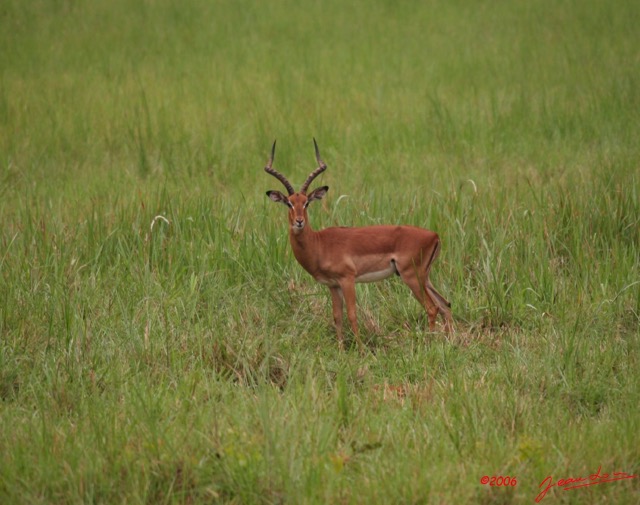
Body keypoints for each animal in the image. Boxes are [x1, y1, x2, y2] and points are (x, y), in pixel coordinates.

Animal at [262, 140, 452, 348]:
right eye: (289, 203)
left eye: (306, 203)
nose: (299, 221)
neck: (319, 244)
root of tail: (434, 235)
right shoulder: (333, 285)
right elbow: (337, 316)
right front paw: (341, 349)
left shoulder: (348, 279)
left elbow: (352, 315)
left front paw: (360, 350)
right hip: (424, 277)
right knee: (445, 304)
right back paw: (450, 342)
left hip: (412, 276)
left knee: (432, 308)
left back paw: (429, 343)